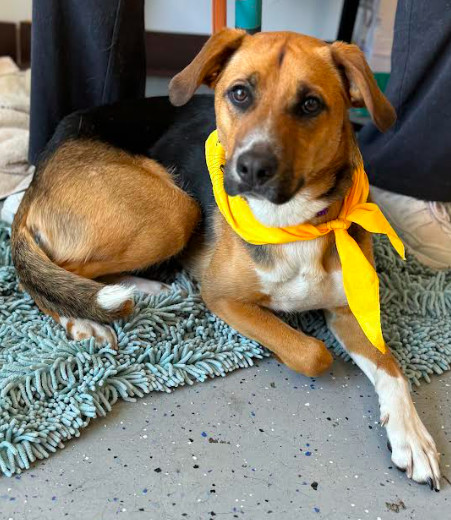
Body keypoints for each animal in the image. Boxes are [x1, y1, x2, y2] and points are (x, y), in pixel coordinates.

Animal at [11, 31, 442, 488]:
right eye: (239, 93)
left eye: (310, 104)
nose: (251, 168)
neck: (293, 223)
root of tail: (43, 165)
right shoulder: (223, 298)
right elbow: (312, 354)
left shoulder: (351, 309)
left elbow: (391, 367)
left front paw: (412, 436)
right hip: (175, 210)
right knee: (46, 272)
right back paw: (85, 320)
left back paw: (144, 289)